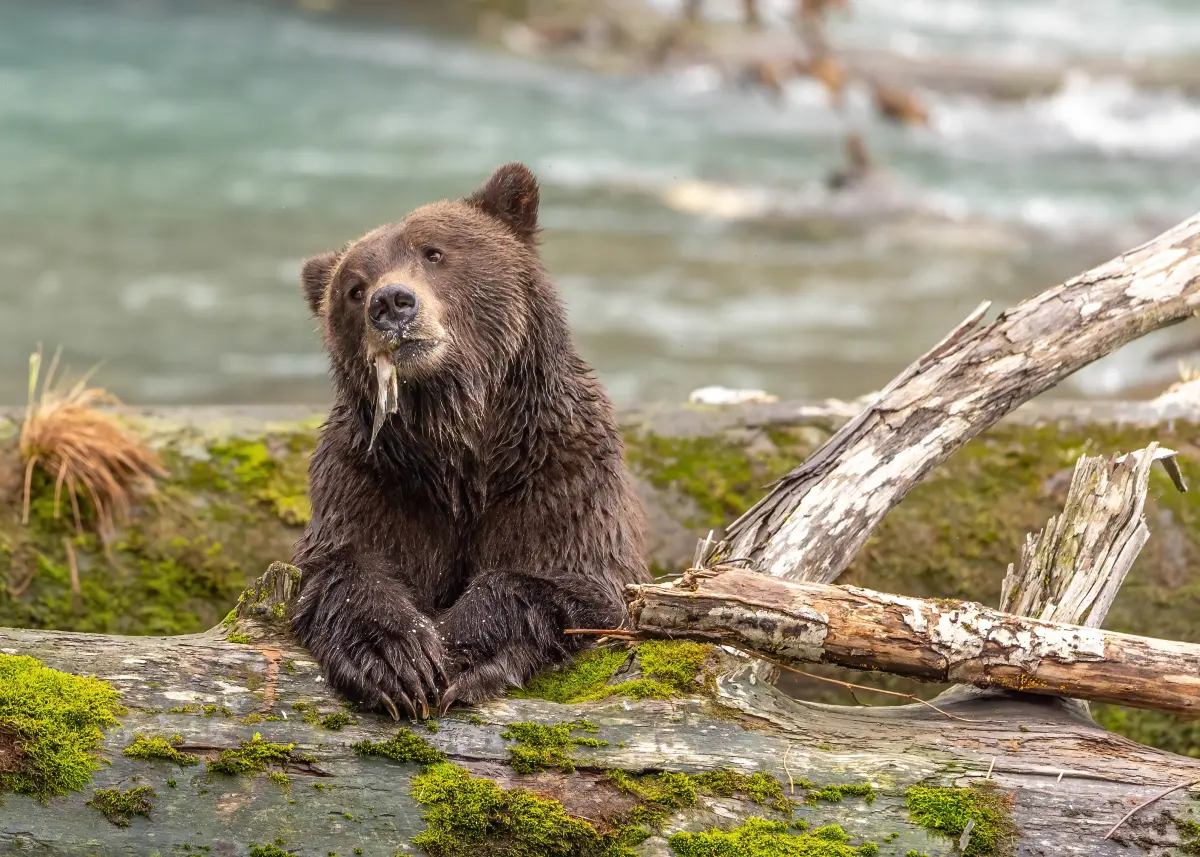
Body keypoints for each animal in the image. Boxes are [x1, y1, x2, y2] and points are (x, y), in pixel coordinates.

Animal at [288, 163, 650, 720]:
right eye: (353, 287)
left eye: (434, 252)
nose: (391, 302)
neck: (460, 446)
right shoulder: (376, 479)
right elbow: (344, 565)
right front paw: (396, 659)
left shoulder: (558, 474)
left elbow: (567, 580)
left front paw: (460, 653)